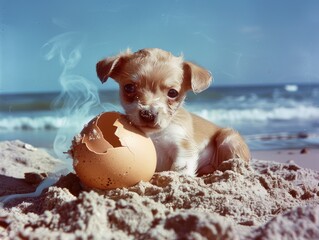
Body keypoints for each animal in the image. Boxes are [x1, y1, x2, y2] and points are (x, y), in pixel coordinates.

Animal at [96, 48, 251, 176]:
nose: (148, 114)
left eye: (172, 93)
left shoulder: (183, 146)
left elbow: (179, 169)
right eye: (129, 87)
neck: (154, 135)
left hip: (229, 140)